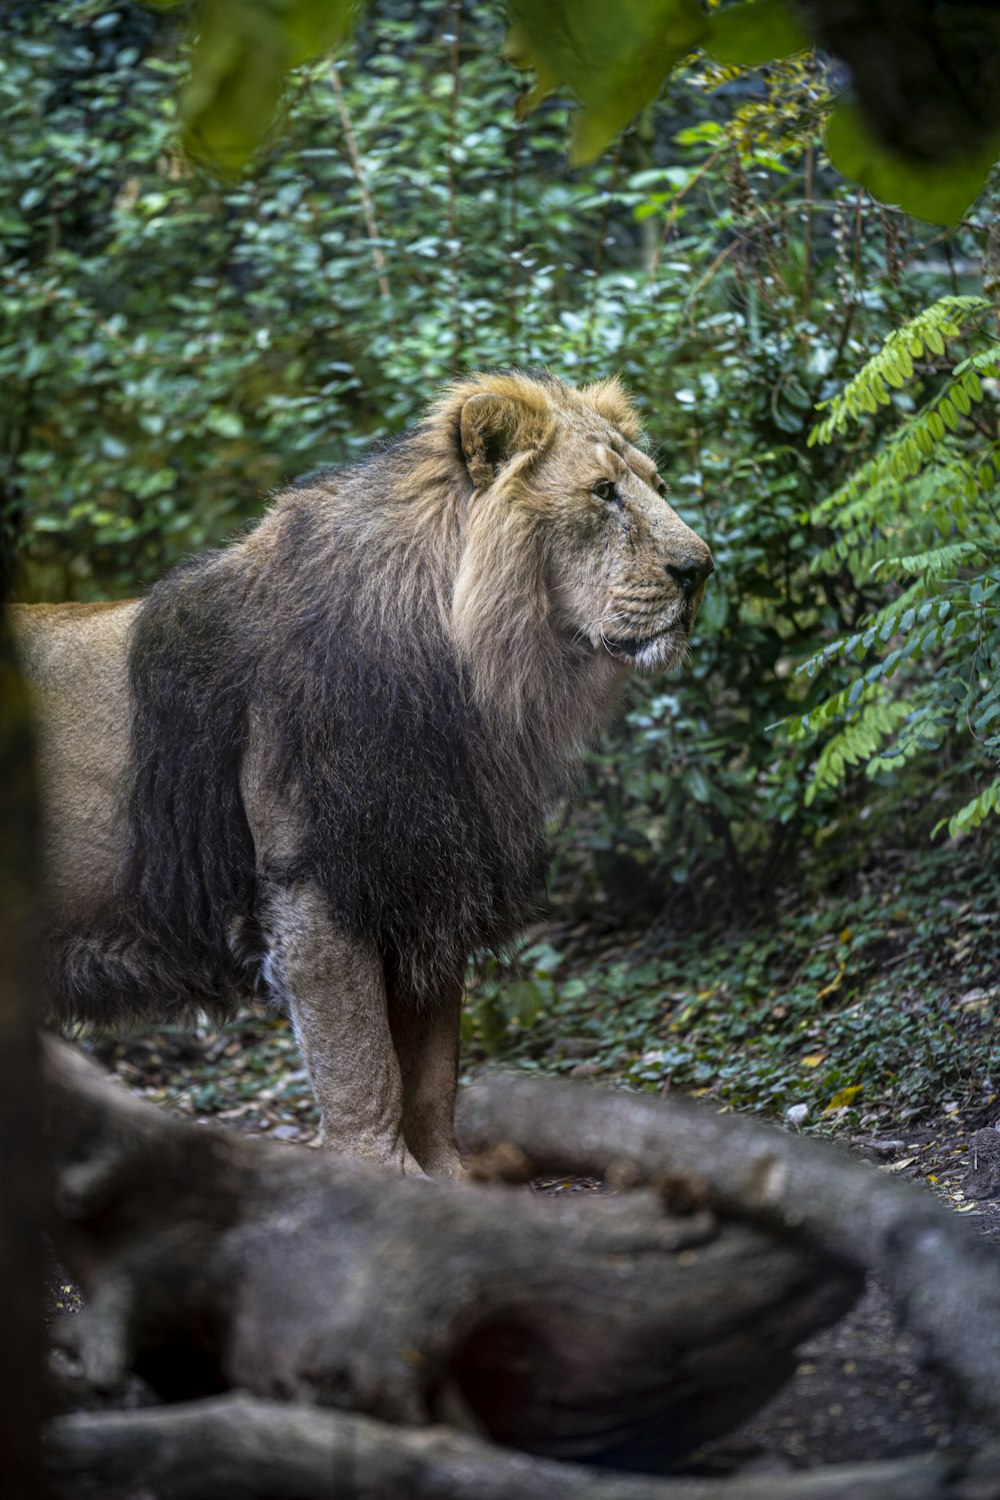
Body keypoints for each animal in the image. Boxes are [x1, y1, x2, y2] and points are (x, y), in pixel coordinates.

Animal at [19, 372, 716, 1170]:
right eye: (602, 493)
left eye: (658, 485)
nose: (701, 568)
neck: (465, 684)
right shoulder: (313, 887)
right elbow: (364, 1066)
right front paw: (378, 1175)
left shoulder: (427, 878)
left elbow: (433, 1072)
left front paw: (446, 1181)